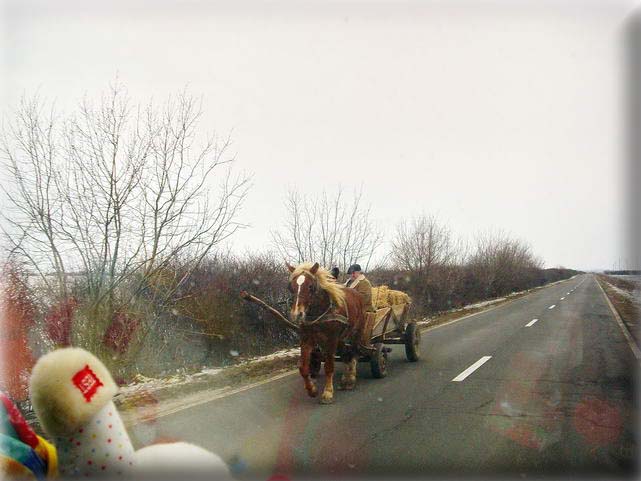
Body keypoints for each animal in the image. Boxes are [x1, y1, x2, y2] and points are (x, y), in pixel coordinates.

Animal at [288, 262, 368, 402]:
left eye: (310, 286)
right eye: (291, 287)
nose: (297, 314)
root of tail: (358, 295)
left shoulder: (331, 339)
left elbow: (329, 366)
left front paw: (328, 392)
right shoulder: (307, 339)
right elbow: (303, 367)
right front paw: (312, 389)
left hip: (356, 333)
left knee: (354, 353)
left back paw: (351, 379)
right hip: (342, 338)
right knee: (346, 355)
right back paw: (345, 378)